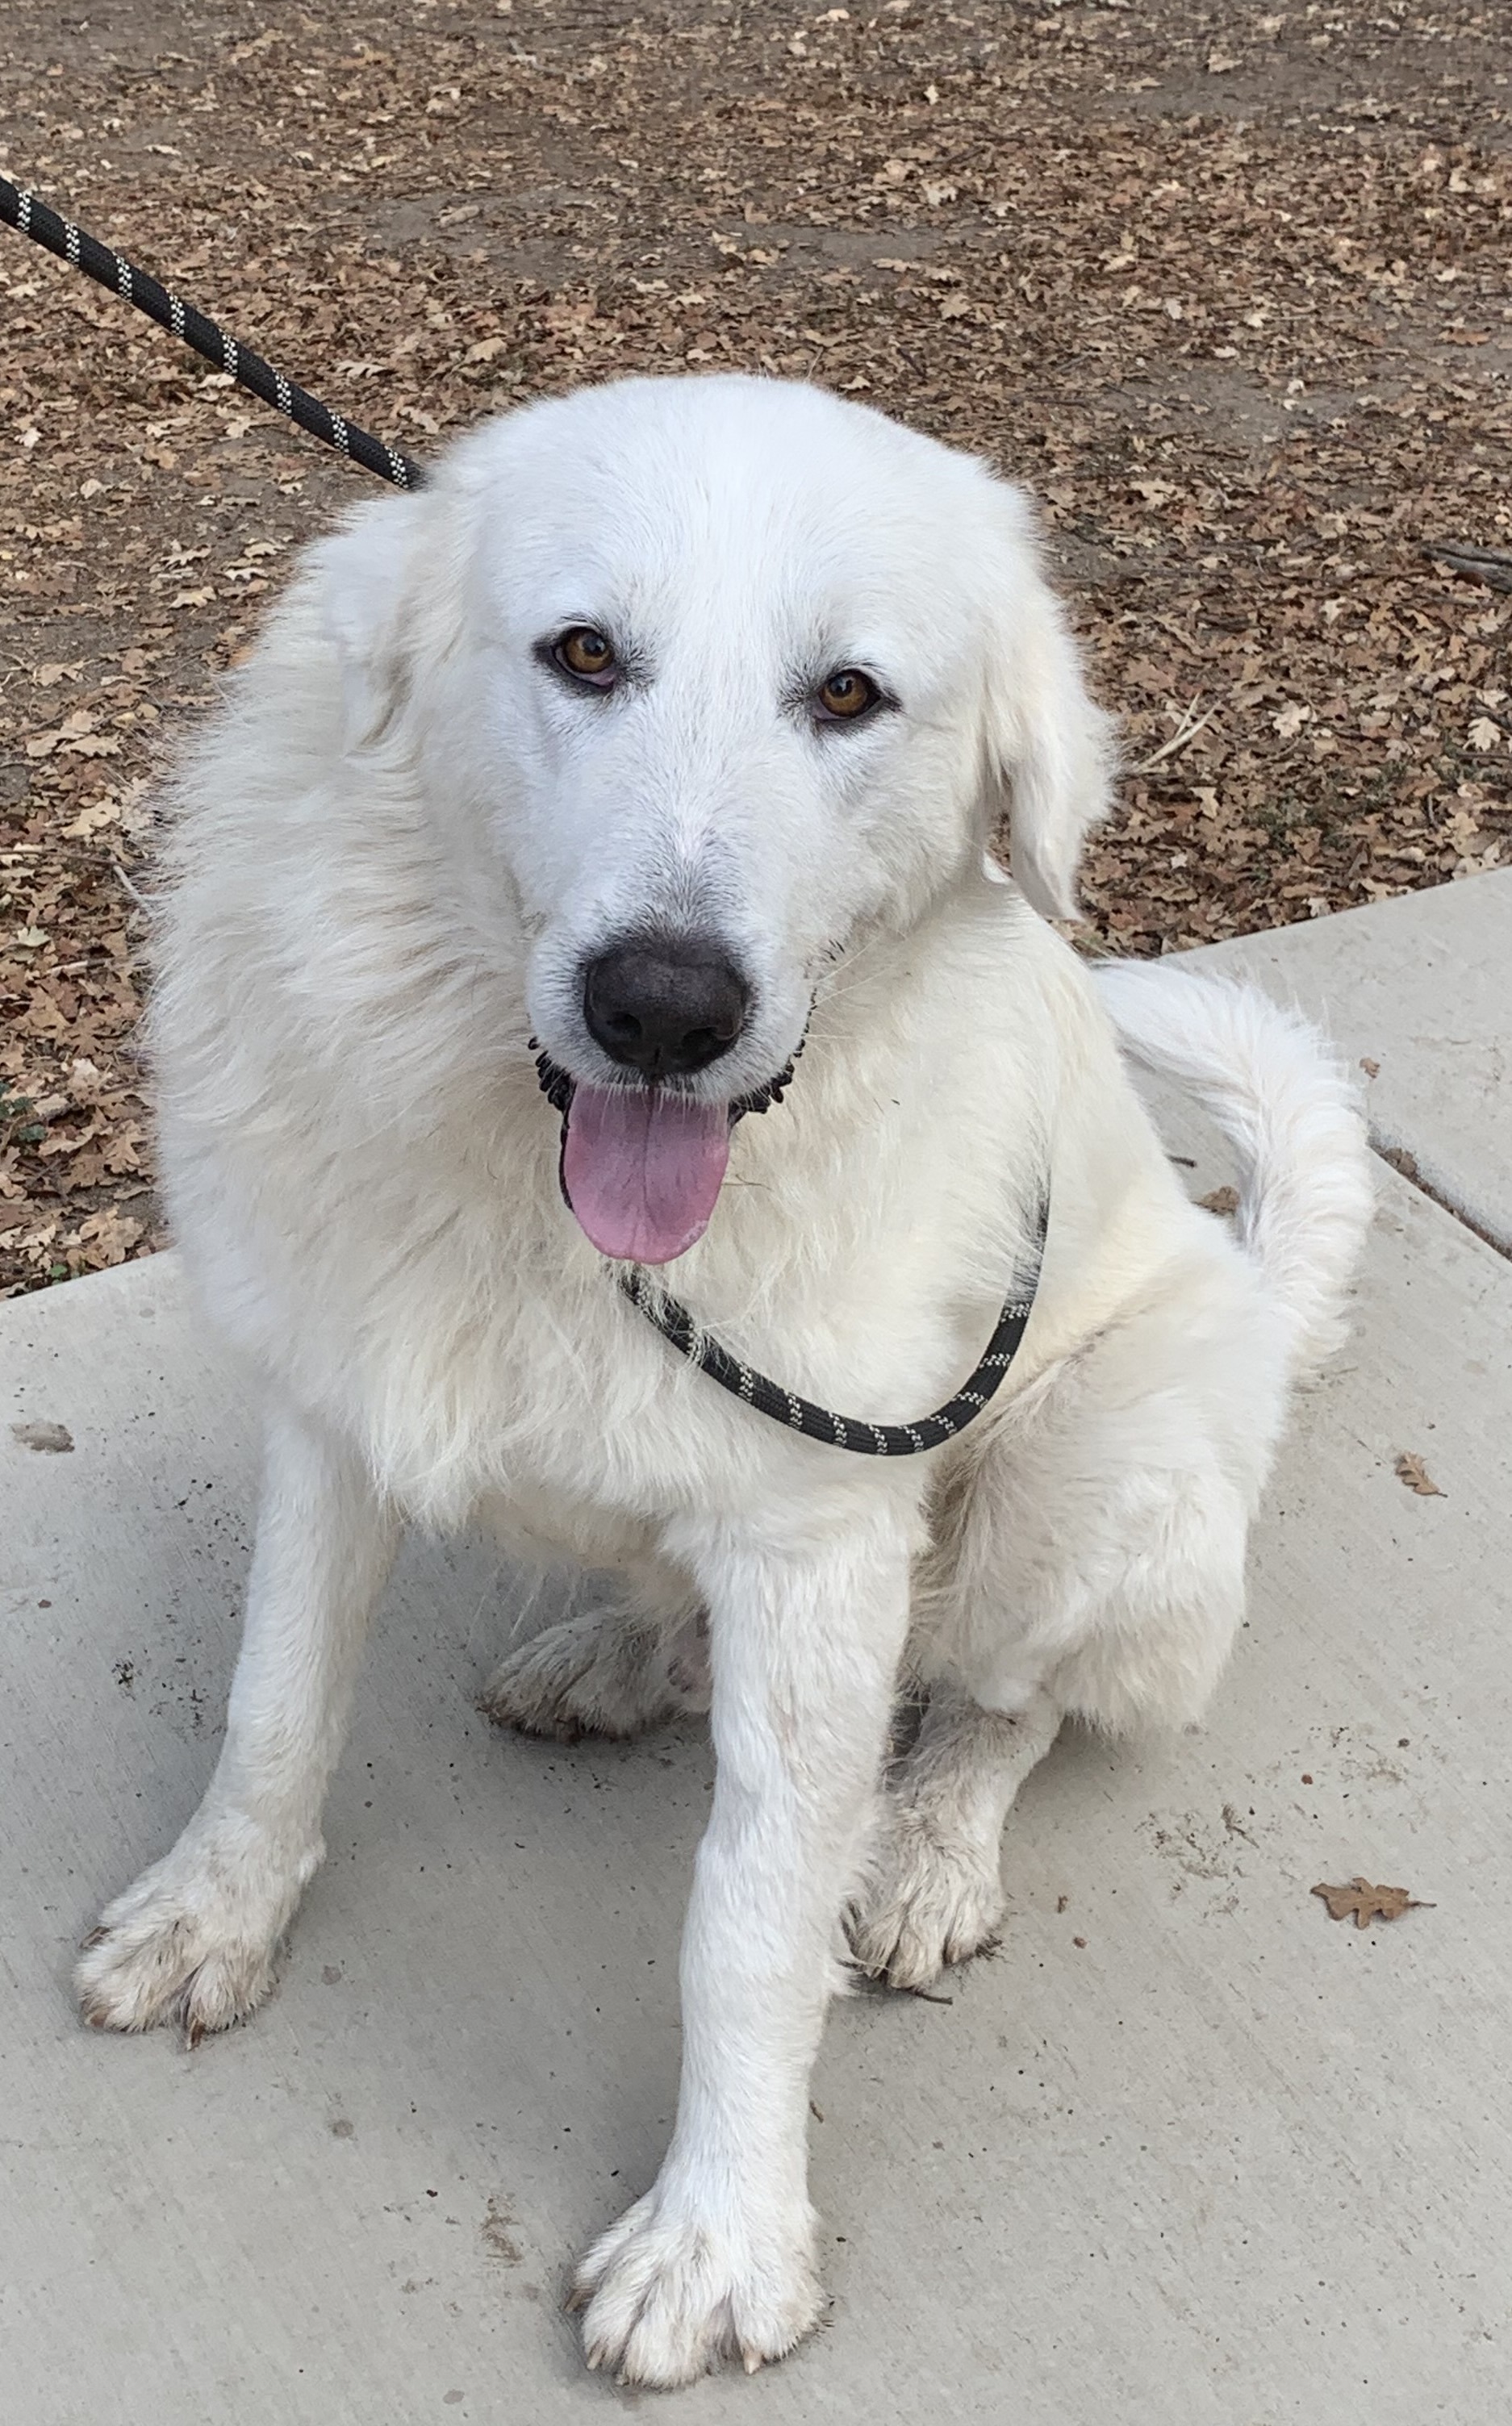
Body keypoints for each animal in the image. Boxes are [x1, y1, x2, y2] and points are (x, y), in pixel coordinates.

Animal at [73, 378, 1368, 2386]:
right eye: (585, 654)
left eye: (846, 694)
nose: (662, 1007)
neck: (555, 1212)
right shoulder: (333, 1408)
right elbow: (274, 1705)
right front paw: (217, 1910)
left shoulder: (823, 1546)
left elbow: (749, 1923)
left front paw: (722, 2238)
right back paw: (616, 1656)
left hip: (1081, 1472)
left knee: (1003, 1703)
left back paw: (920, 1853)